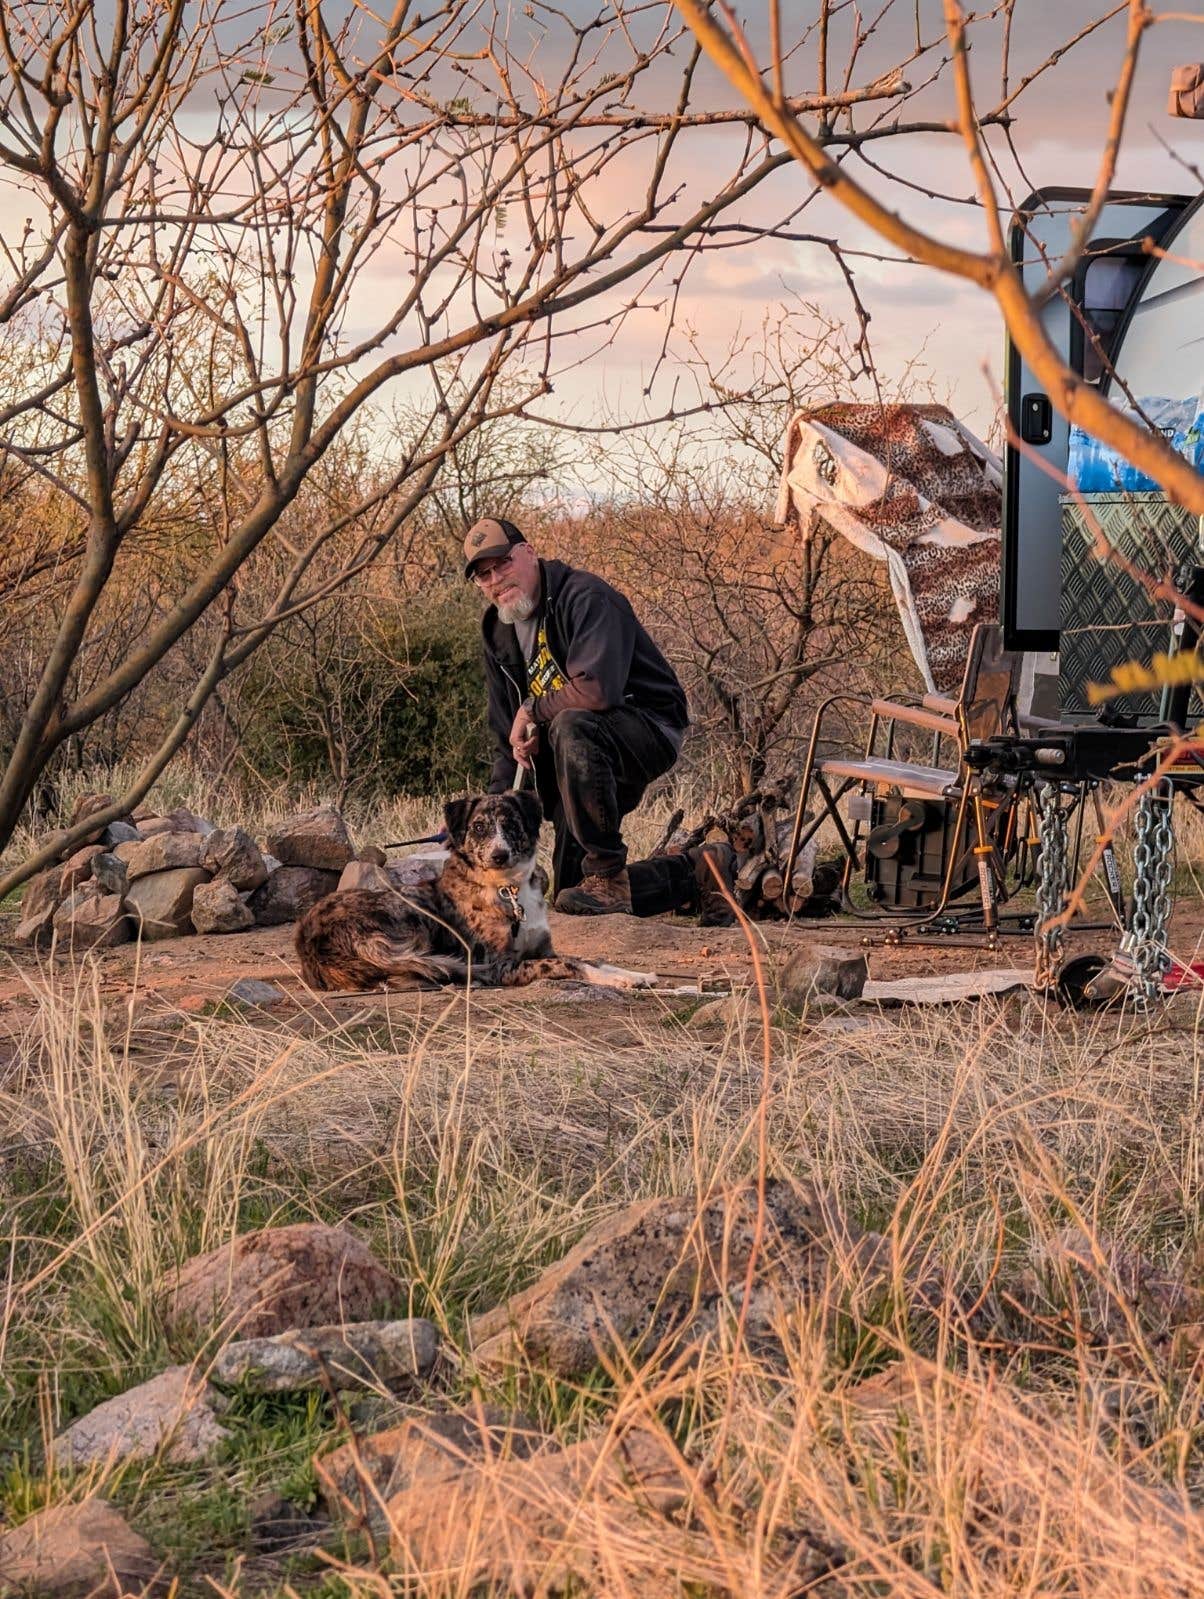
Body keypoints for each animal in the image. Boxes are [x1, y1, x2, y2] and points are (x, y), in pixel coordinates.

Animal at [294, 793, 649, 991]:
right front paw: (616, 980)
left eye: (511, 825)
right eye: (479, 827)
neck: (508, 888)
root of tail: (310, 944)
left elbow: (589, 958)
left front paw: (634, 974)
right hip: (406, 913)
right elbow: (570, 965)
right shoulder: (502, 965)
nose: (499, 855)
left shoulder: (543, 949)